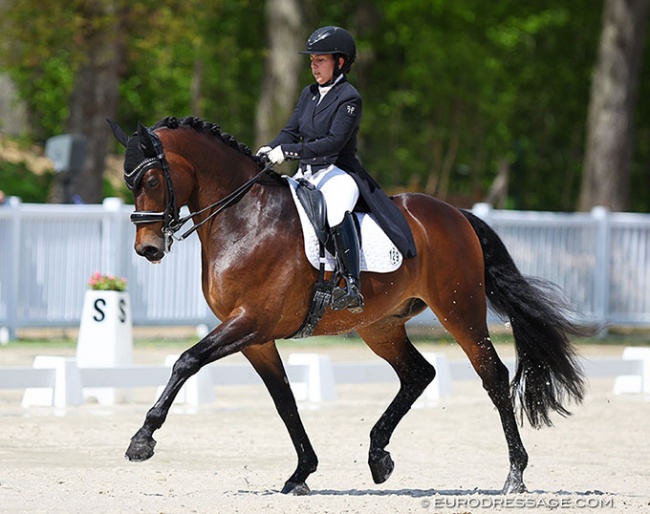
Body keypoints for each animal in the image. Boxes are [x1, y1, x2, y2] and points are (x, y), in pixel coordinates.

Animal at [109, 115, 588, 492]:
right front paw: (302, 472)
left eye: (151, 180)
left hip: (460, 311)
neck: (244, 218)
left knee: (493, 375)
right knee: (418, 373)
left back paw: (515, 474)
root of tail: (455, 213)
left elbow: (186, 361)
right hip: (380, 325)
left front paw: (142, 439)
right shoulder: (255, 338)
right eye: (130, 182)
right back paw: (379, 457)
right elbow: (285, 400)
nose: (148, 249)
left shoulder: (249, 322)